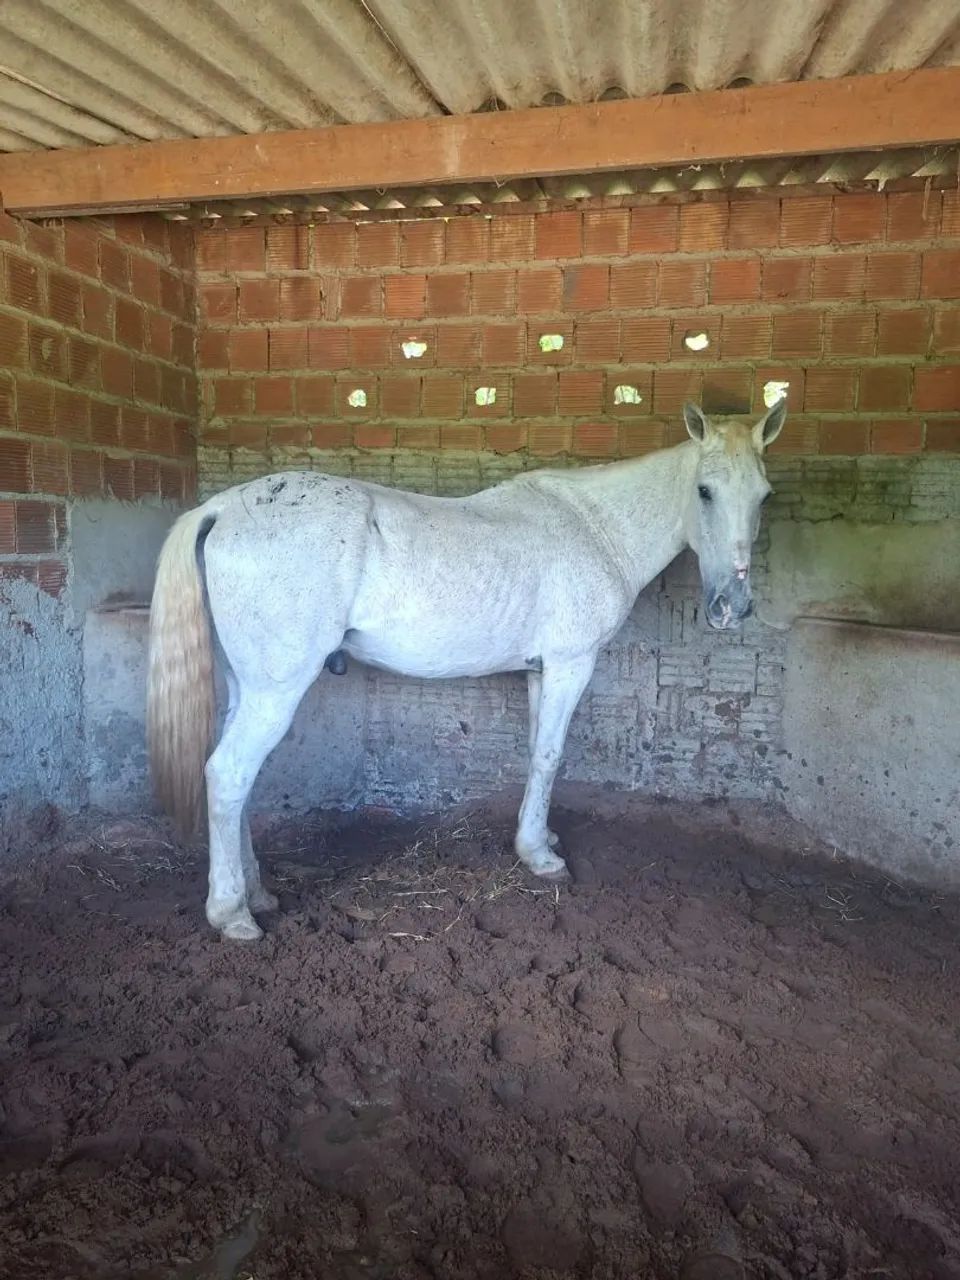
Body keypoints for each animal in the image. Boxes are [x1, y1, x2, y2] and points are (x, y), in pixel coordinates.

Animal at [147, 400, 786, 940]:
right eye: (704, 491)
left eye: (764, 495)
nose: (732, 607)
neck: (594, 526)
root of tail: (221, 507)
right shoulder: (571, 664)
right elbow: (550, 754)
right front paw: (541, 857)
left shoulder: (540, 671)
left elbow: (535, 752)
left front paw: (538, 835)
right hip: (275, 690)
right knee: (228, 775)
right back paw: (233, 914)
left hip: (247, 687)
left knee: (238, 782)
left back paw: (257, 894)